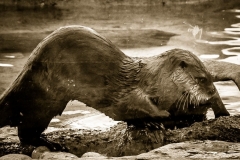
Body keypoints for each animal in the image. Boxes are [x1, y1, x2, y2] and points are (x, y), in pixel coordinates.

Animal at [0, 25, 236, 149]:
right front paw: (157, 120)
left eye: (210, 77)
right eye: (202, 78)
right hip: (42, 99)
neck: (156, 83)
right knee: (25, 130)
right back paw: (51, 144)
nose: (212, 92)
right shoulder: (129, 95)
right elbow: (135, 108)